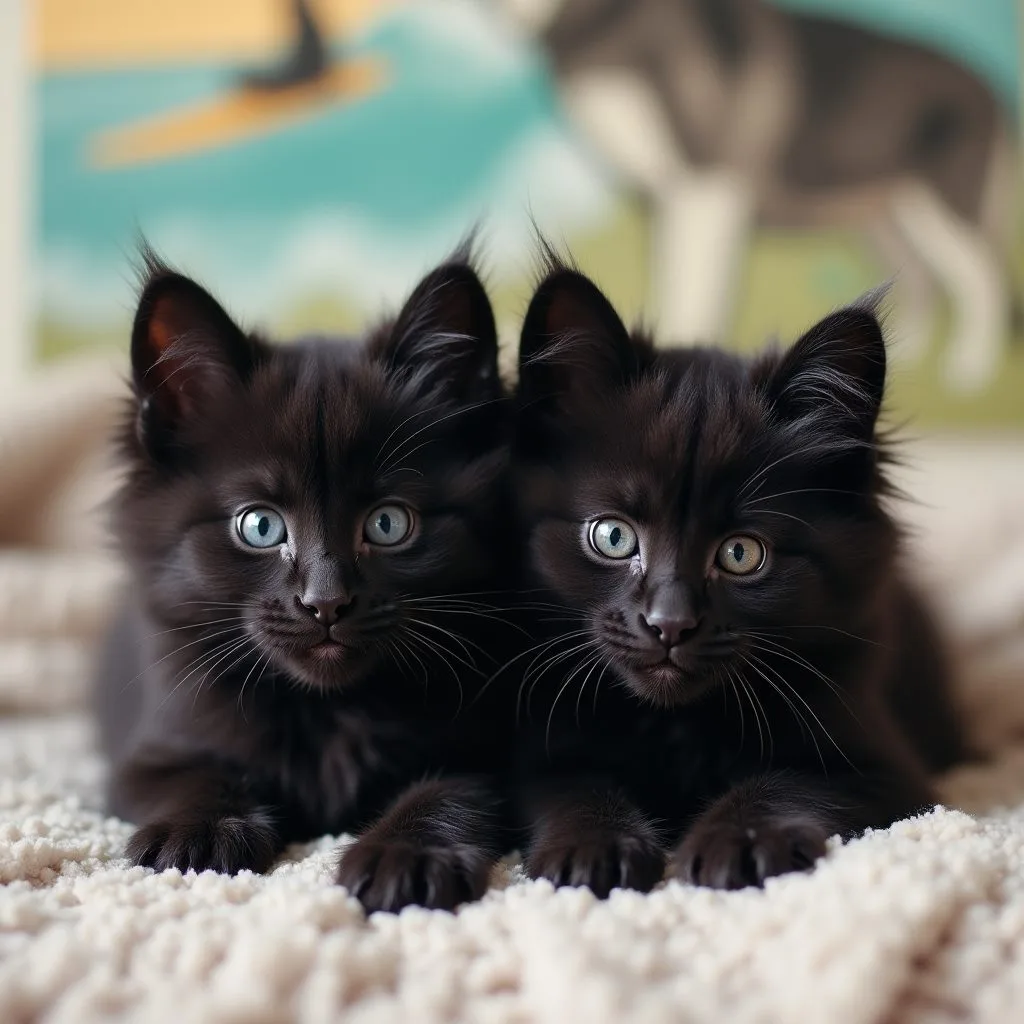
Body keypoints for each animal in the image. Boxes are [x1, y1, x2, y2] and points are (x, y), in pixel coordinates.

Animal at [93, 245, 516, 913]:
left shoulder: (488, 751)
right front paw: (198, 832)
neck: (330, 712)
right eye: (260, 525)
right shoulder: (151, 748)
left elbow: (448, 792)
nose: (326, 602)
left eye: (389, 523)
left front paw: (407, 855)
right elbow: (196, 775)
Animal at [512, 256, 966, 897]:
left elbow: (789, 781)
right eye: (613, 537)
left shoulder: (888, 769)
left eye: (741, 554)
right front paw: (592, 846)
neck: (674, 726)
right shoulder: (539, 751)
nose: (670, 624)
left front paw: (742, 841)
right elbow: (572, 784)